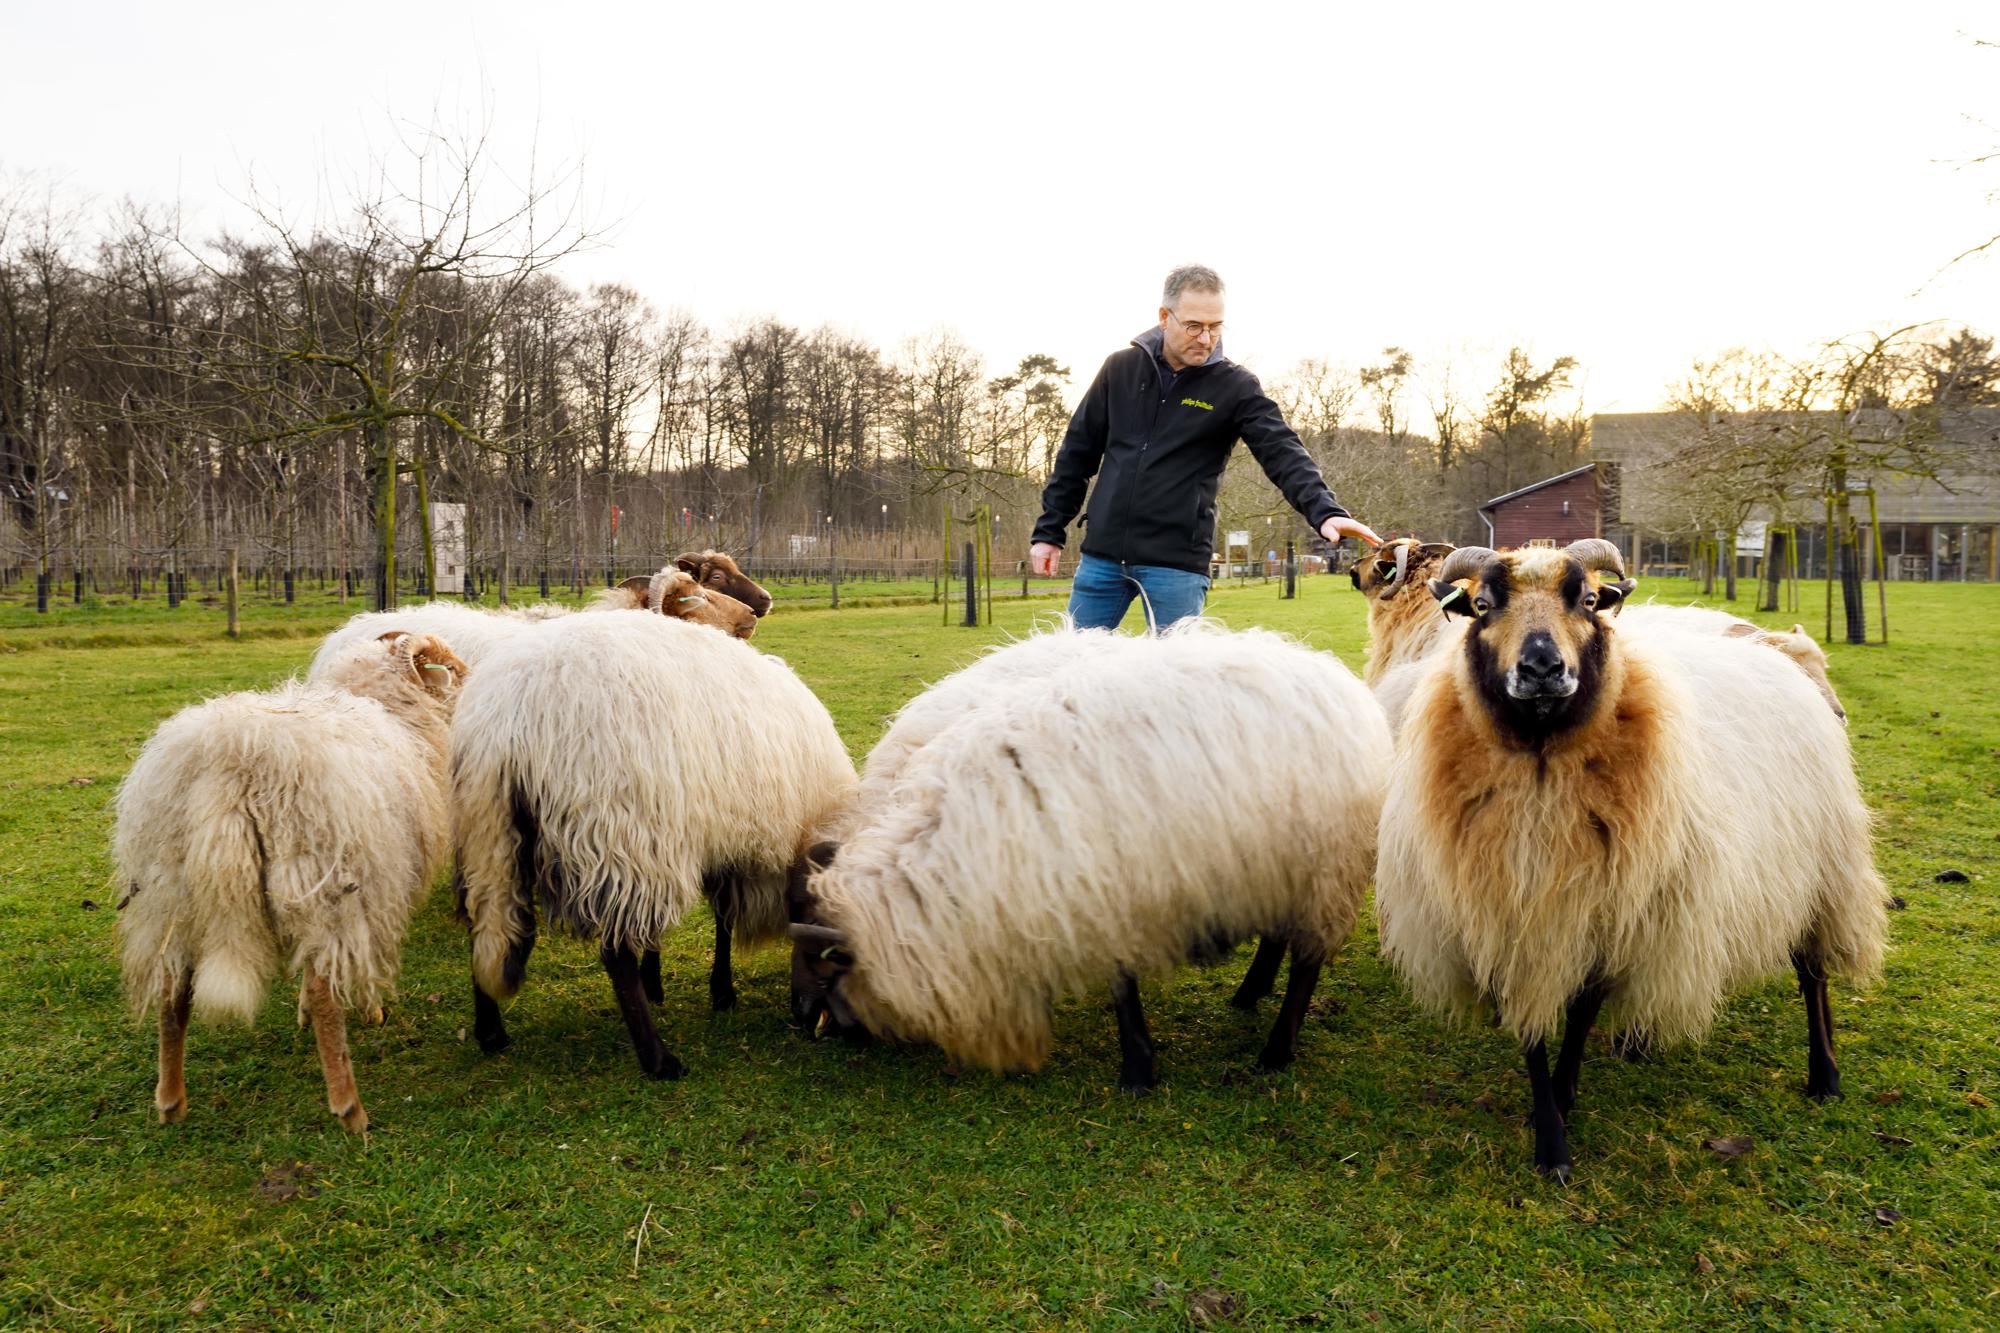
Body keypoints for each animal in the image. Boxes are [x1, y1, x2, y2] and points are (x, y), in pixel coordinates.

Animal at [117, 628, 472, 1128]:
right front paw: (370, 1010)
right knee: (326, 993)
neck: (390, 705)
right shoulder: (367, 891)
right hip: (321, 876)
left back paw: (169, 1101)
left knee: (172, 992)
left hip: (170, 890)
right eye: (451, 669)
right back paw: (349, 1108)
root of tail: (230, 766)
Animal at [450, 612, 856, 1080]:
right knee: (615, 953)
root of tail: (503, 718)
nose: (807, 1018)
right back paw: (659, 1059)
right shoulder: (718, 844)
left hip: (486, 835)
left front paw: (660, 981)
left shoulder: (698, 836)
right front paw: (720, 991)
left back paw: (490, 1032)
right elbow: (723, 920)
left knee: (481, 928)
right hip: (617, 831)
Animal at [784, 616, 1392, 1088]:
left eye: (823, 965)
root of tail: (1333, 678)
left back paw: (1275, 1052)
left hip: (1325, 870)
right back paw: (1249, 993)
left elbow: (1123, 988)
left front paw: (1138, 1071)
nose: (799, 1019)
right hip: (1277, 864)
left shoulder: (1107, 899)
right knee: (1276, 937)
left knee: (1306, 963)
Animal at [1384, 532, 1880, 1176]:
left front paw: (1562, 1104)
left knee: (1812, 973)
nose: (1542, 667)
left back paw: (1825, 1075)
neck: (1542, 766)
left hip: (1820, 868)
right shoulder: (1516, 920)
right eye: (1484, 605)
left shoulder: (1614, 914)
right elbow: (1533, 1034)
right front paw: (1549, 1136)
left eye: (1590, 600)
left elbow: (1579, 1015)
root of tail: (1783, 659)